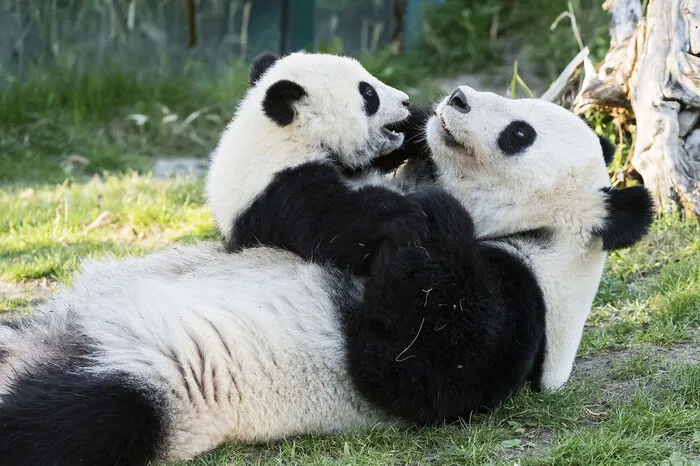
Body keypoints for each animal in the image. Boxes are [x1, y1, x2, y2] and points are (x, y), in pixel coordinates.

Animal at [0, 85, 654, 464]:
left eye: (521, 134)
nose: (459, 96)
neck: (527, 233)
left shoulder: (524, 305)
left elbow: (419, 370)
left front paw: (436, 218)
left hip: (150, 383)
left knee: (64, 421)